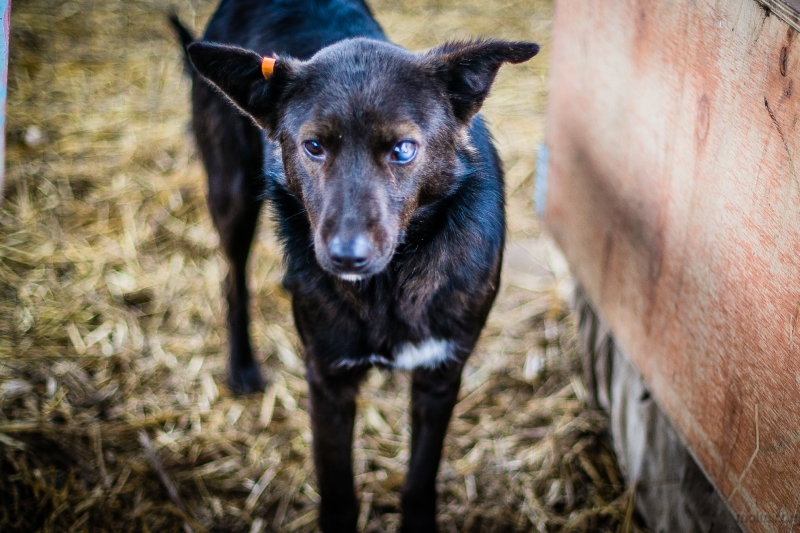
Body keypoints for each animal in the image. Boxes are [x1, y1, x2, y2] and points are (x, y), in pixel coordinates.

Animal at [173, 3, 540, 528]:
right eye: (313, 147)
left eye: (403, 149)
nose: (347, 255)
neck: (390, 284)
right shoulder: (328, 380)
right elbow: (338, 494)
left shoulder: (440, 374)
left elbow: (419, 480)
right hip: (232, 193)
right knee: (233, 281)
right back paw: (243, 367)